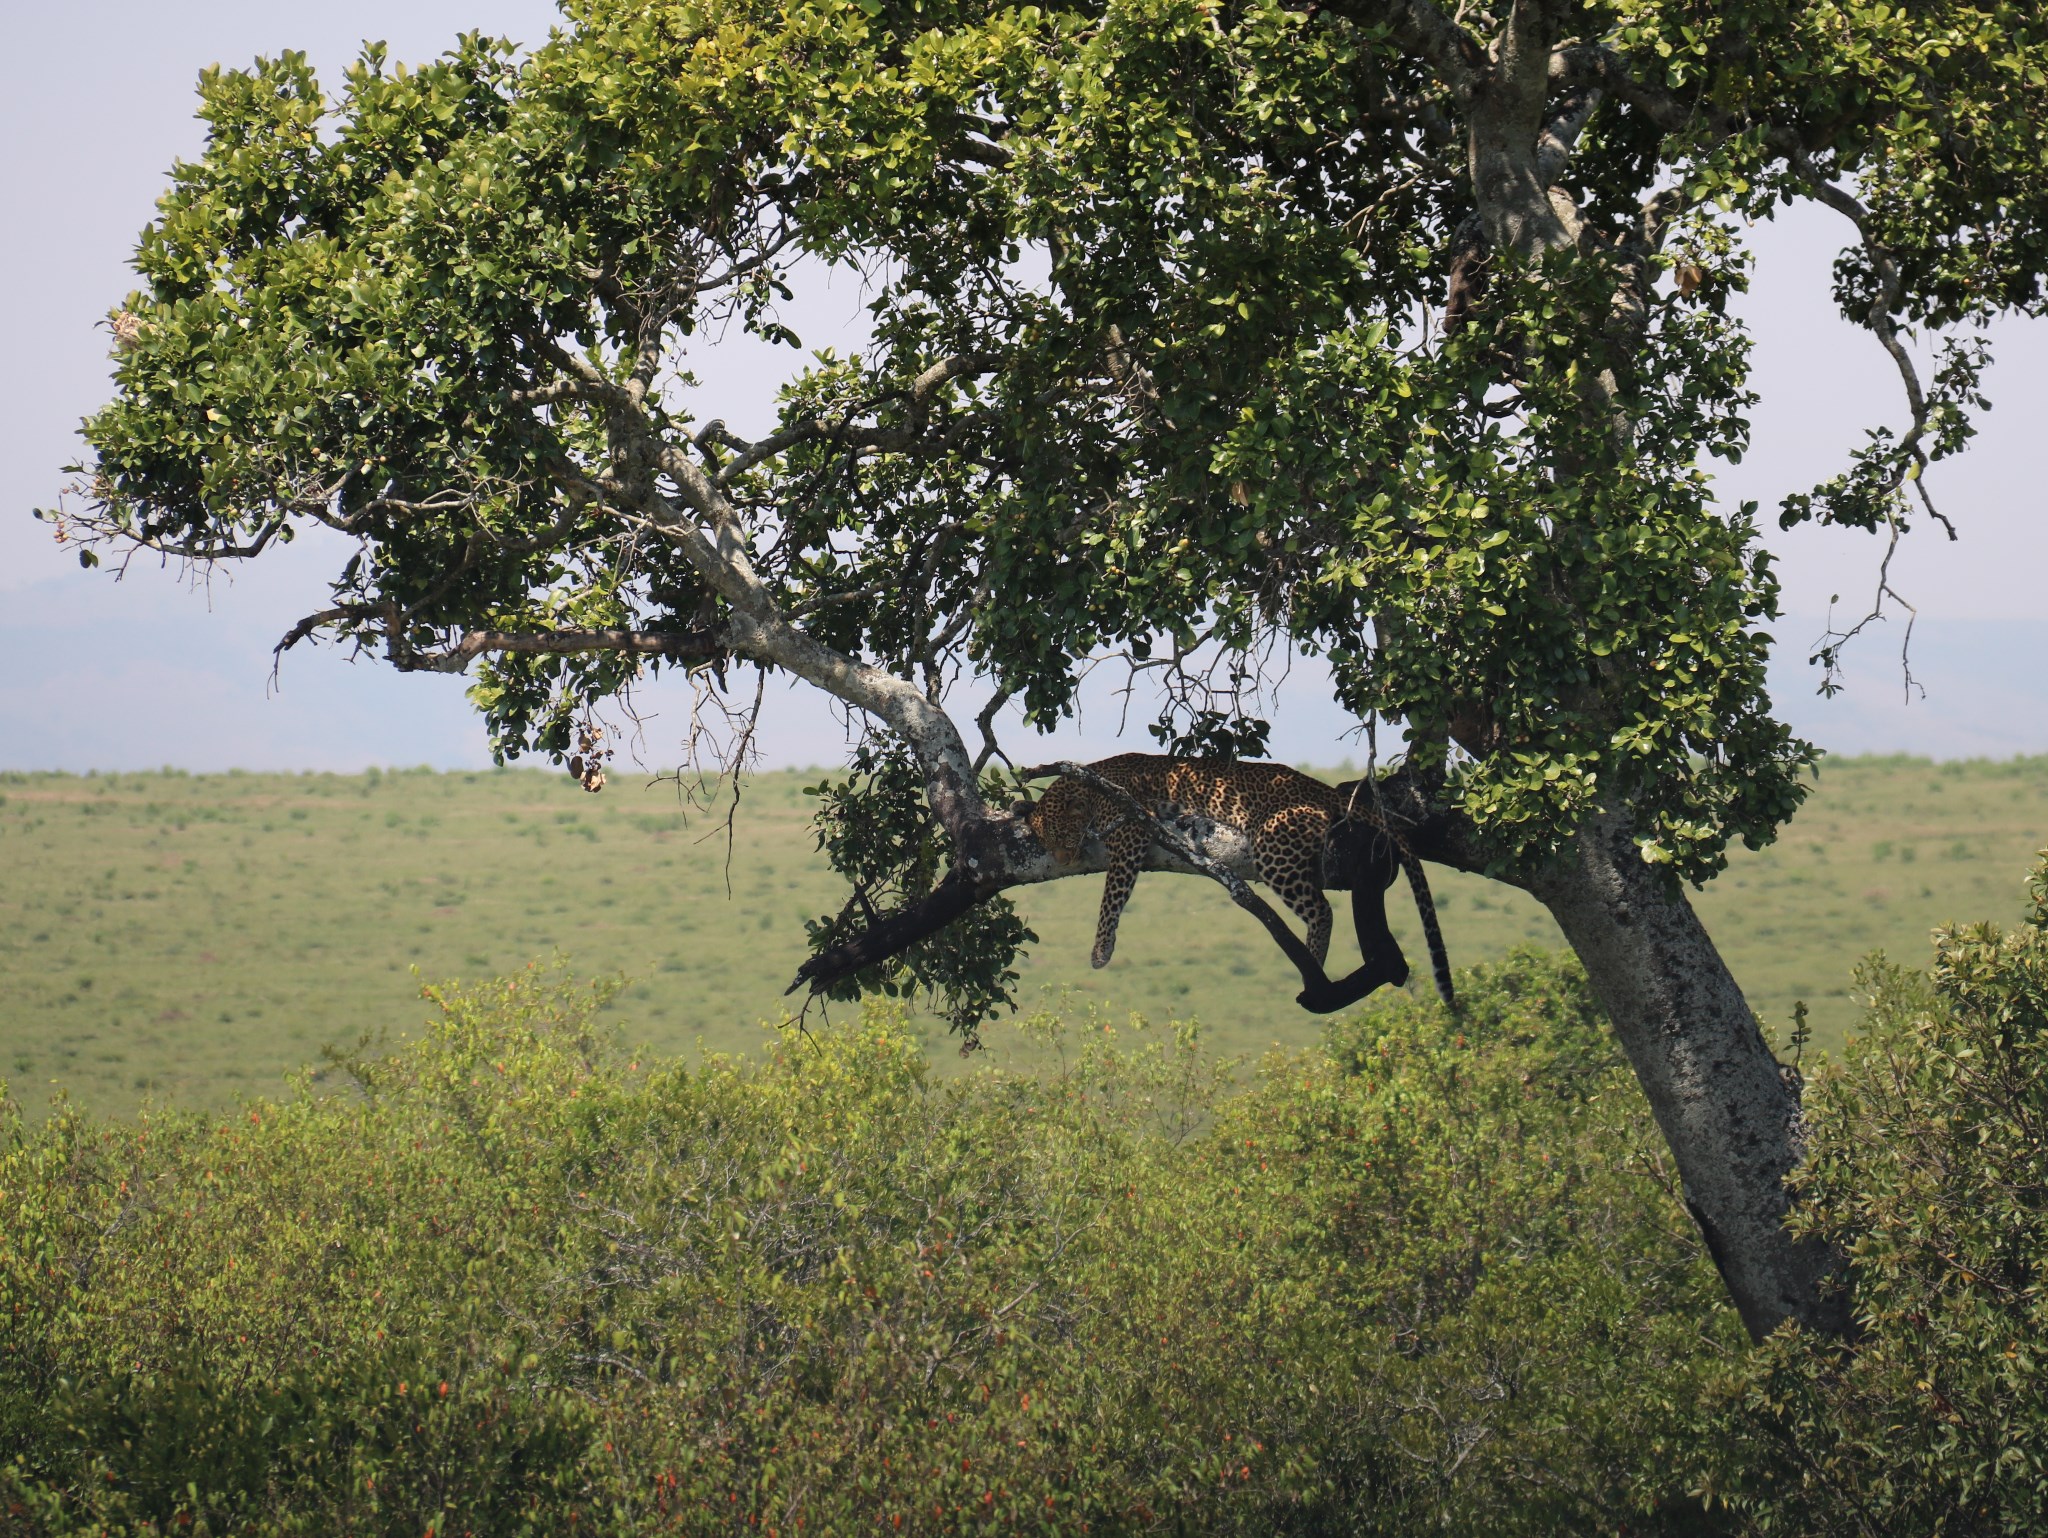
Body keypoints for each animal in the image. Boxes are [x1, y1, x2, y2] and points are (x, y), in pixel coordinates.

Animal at [1024, 753, 1458, 1011]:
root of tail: (1316, 786)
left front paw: (1101, 950)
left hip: (1273, 845)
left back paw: (1314, 963)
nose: (1063, 859)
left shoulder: (1131, 830)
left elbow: (1112, 896)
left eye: (1063, 839)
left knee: (1322, 909)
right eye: (1046, 843)